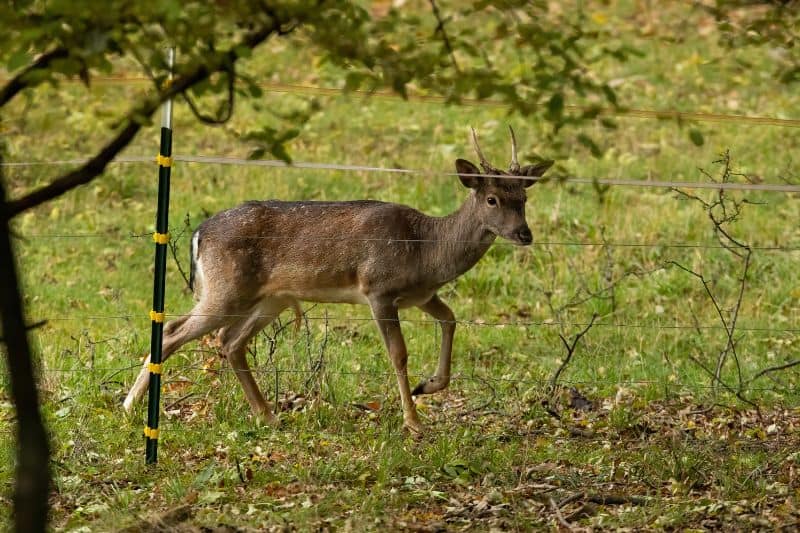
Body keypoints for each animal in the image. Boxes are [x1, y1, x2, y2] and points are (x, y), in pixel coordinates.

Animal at [123, 128, 552, 432]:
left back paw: (268, 415)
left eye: (524, 199)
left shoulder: (421, 294)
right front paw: (414, 421)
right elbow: (398, 353)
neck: (427, 250)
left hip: (270, 297)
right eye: (493, 199)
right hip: (225, 288)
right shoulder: (378, 287)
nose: (524, 234)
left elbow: (450, 320)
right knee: (174, 331)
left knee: (229, 341)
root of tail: (199, 234)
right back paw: (129, 408)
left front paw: (428, 386)